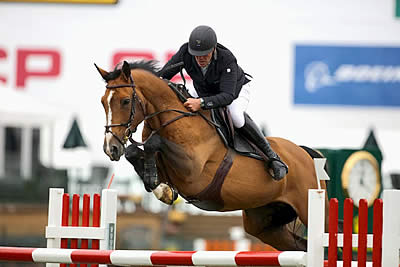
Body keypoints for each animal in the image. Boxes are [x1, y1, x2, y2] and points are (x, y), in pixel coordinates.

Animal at [94, 60, 328, 251]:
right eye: (103, 102)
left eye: (125, 101)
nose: (110, 148)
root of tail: (306, 154)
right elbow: (134, 151)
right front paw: (161, 189)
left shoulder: (192, 171)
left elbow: (153, 143)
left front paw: (159, 187)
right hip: (264, 223)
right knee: (300, 247)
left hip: (309, 209)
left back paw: (277, 165)